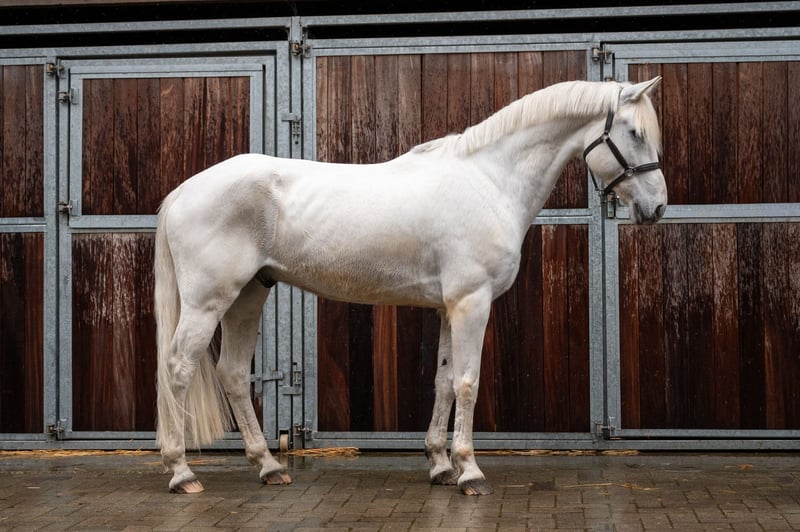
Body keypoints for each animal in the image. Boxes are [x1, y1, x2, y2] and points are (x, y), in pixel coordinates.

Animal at [154, 77, 666, 496]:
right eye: (635, 133)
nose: (657, 207)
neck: (489, 180)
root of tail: (182, 191)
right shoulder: (471, 303)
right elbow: (467, 382)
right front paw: (469, 471)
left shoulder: (447, 308)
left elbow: (442, 382)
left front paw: (439, 464)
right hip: (207, 303)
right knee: (178, 368)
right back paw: (181, 473)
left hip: (249, 296)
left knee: (233, 374)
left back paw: (268, 466)